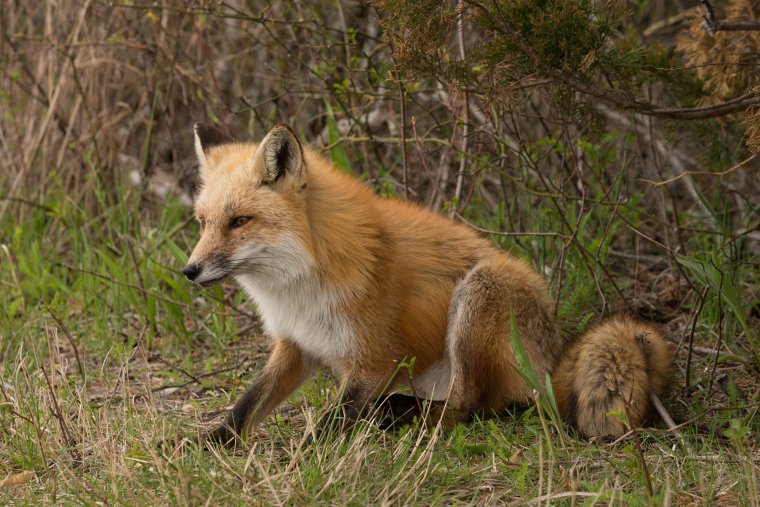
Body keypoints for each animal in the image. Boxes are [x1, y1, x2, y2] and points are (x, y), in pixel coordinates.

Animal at [184, 125, 672, 446]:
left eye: (239, 221)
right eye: (203, 223)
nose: (189, 270)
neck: (298, 285)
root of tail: (554, 357)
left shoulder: (374, 360)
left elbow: (329, 423)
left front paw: (301, 457)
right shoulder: (296, 345)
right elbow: (247, 404)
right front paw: (207, 443)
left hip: (478, 293)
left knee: (468, 407)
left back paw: (410, 426)